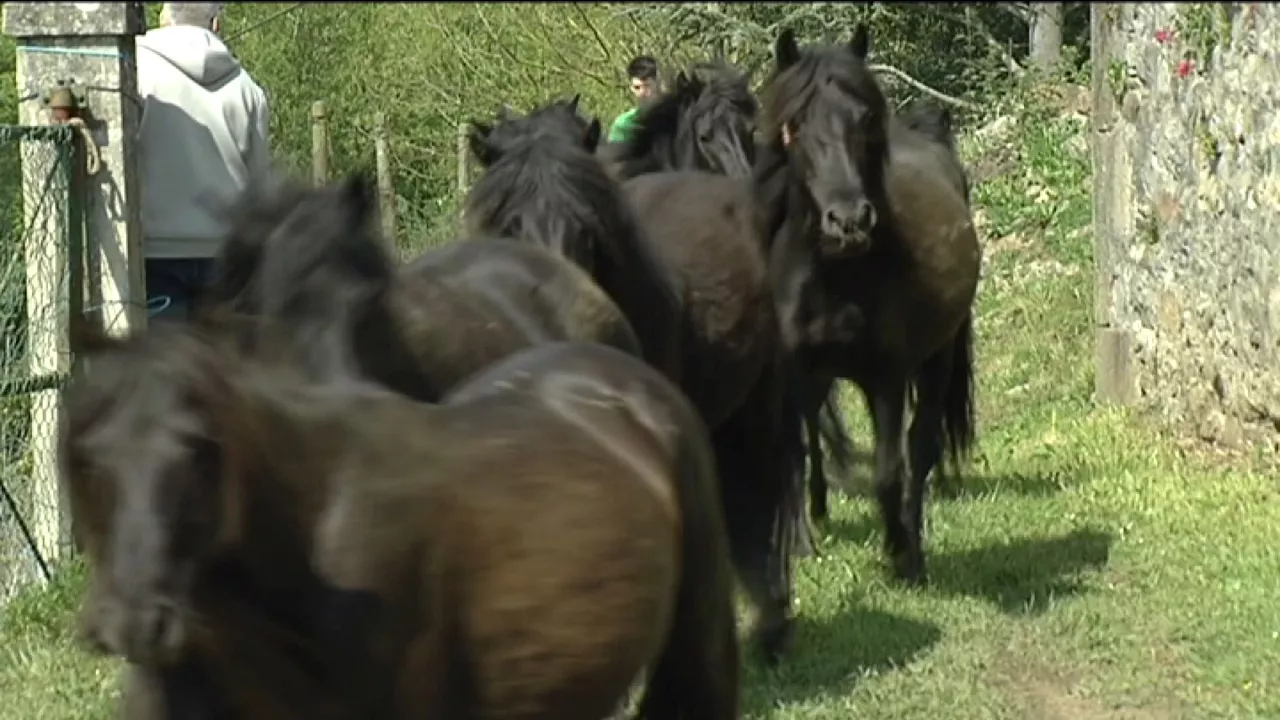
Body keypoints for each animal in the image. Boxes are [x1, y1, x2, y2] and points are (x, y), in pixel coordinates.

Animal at [756, 24, 980, 584]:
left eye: (864, 119)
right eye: (796, 124)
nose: (849, 221)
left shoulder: (887, 378)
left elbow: (888, 472)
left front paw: (900, 550)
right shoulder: (795, 372)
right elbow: (792, 454)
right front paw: (799, 542)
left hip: (938, 358)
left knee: (921, 448)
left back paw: (913, 542)